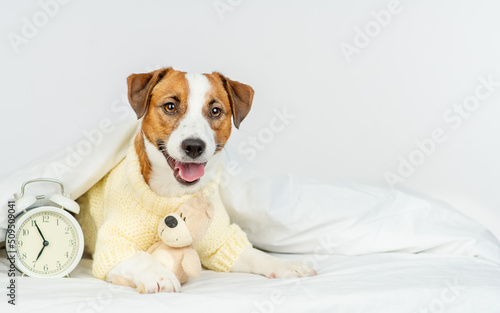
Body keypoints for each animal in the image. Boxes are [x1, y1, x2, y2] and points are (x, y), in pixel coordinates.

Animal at [78, 67, 316, 294]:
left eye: (215, 111)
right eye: (170, 106)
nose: (194, 146)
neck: (173, 194)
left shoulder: (221, 243)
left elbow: (254, 254)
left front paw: (285, 265)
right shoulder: (113, 246)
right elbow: (141, 258)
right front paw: (160, 275)